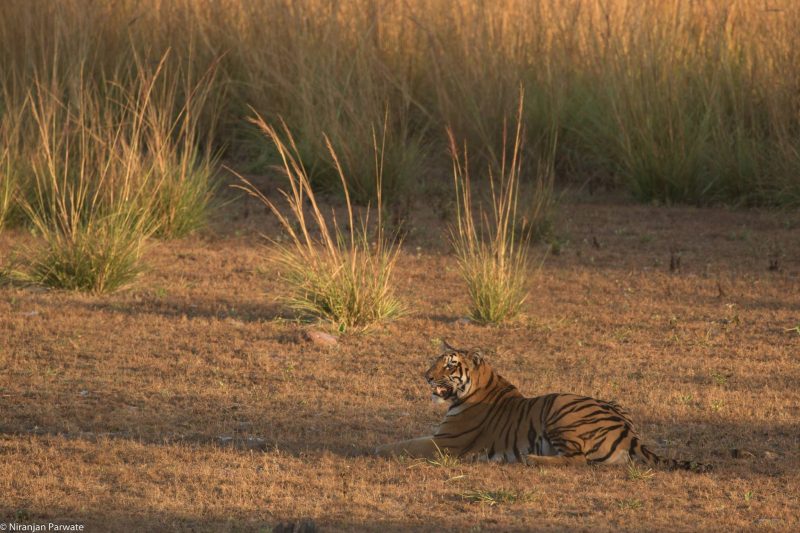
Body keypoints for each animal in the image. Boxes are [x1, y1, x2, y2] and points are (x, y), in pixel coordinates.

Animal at [376, 340, 712, 470]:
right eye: (434, 362)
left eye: (449, 365)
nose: (426, 377)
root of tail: (630, 433)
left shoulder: (446, 443)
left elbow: (405, 444)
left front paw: (376, 449)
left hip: (561, 408)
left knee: (577, 460)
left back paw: (532, 459)